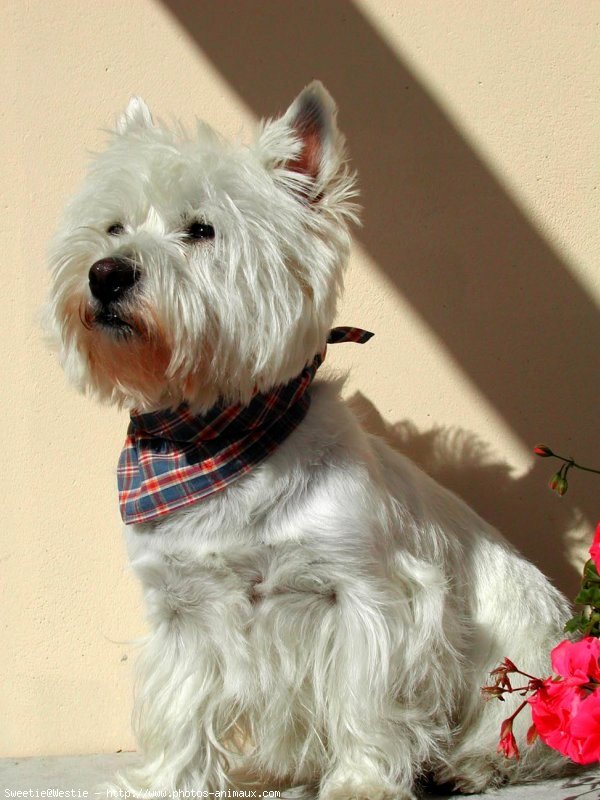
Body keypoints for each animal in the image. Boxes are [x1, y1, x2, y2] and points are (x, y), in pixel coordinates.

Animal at [47, 84, 572, 796]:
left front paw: (361, 782)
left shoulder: (366, 594)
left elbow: (363, 699)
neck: (212, 443)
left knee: (526, 727)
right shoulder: (183, 608)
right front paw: (166, 783)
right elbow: (182, 706)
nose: (105, 274)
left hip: (526, 648)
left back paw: (473, 763)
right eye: (114, 228)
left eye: (202, 229)